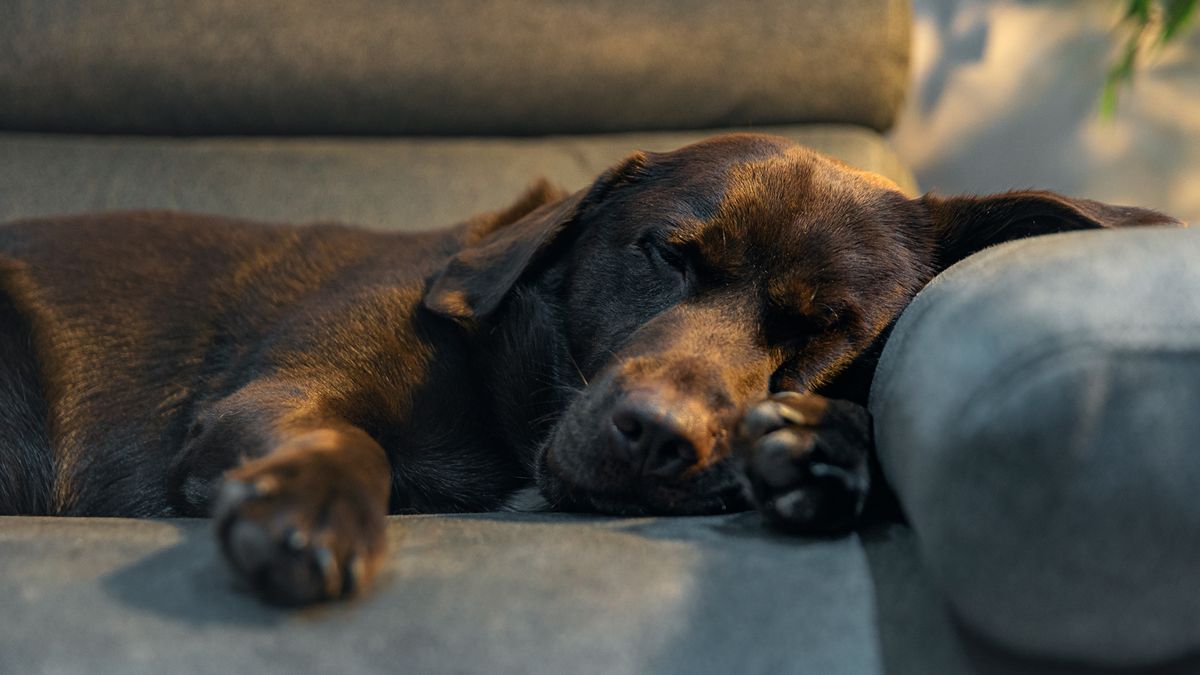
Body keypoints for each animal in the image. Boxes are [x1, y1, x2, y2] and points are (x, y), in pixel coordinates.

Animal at [0, 131, 1171, 598]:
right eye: (668, 254)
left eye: (831, 327)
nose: (654, 437)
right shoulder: (281, 391)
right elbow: (345, 440)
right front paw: (311, 508)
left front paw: (825, 450)